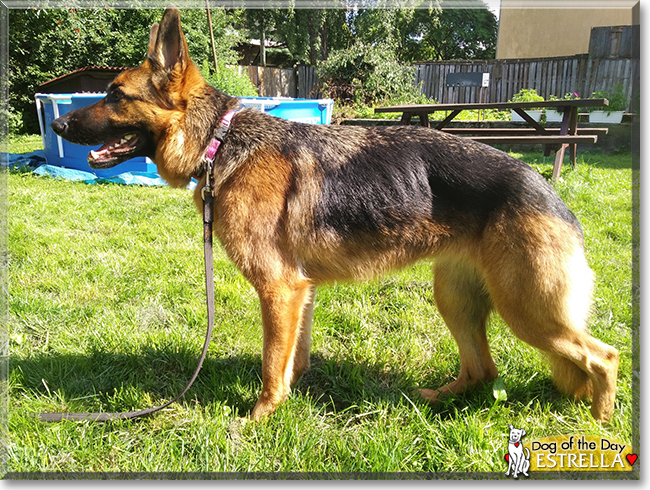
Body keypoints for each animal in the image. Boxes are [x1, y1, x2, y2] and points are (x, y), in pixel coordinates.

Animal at [50, 6, 616, 422]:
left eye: (115, 95)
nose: (55, 124)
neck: (219, 140)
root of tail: (548, 191)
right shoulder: (300, 292)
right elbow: (290, 358)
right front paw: (288, 398)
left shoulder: (279, 289)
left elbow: (270, 363)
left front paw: (258, 418)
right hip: (457, 298)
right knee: (484, 370)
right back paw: (441, 396)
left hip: (529, 311)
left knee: (603, 357)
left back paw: (601, 423)